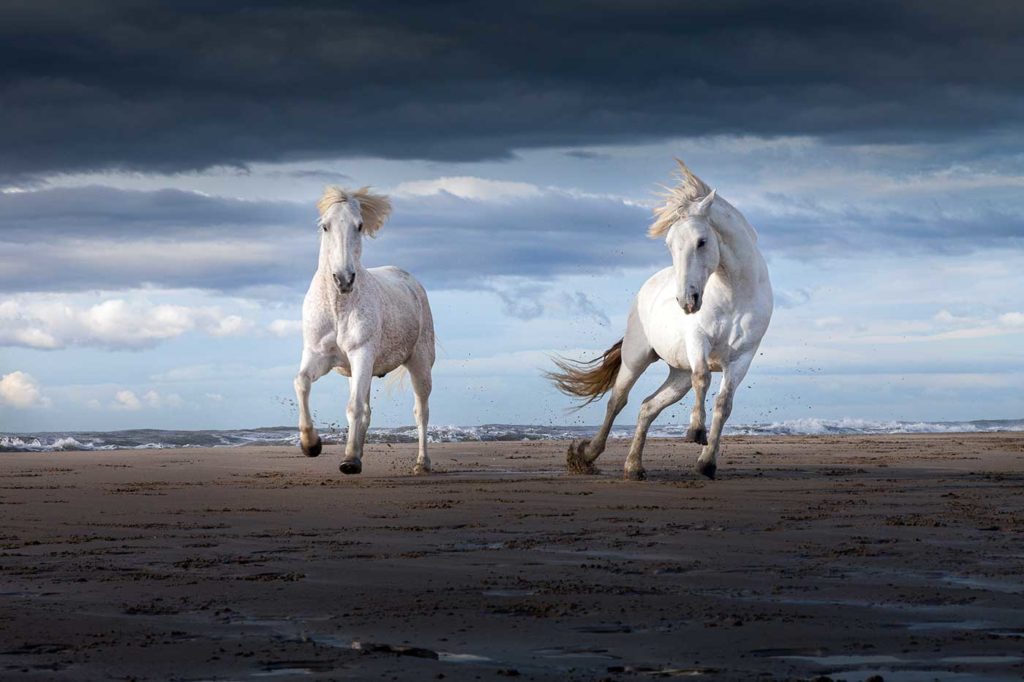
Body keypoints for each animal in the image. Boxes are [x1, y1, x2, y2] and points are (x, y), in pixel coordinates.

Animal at [293, 186, 436, 475]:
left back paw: (422, 463)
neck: (337, 307)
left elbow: (354, 407)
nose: (343, 279)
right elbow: (301, 383)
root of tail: (412, 282)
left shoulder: (362, 354)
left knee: (421, 413)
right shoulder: (318, 356)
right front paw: (311, 444)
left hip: (419, 364)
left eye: (359, 226)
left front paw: (348, 461)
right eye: (325, 226)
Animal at [548, 161, 772, 480]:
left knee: (647, 407)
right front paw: (695, 432)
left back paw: (633, 467)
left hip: (678, 375)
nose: (687, 300)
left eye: (702, 241)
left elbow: (723, 405)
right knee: (618, 401)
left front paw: (706, 463)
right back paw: (586, 456)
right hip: (636, 357)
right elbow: (703, 378)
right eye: (669, 244)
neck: (736, 295)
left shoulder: (742, 358)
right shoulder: (698, 341)